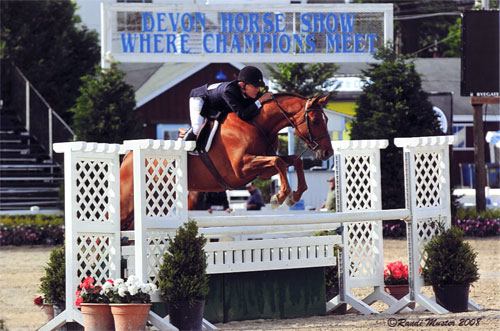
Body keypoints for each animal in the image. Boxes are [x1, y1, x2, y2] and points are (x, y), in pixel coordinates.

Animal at [119, 92, 334, 230]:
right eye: (316, 121)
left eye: (326, 120)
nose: (328, 152)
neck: (256, 124)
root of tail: (128, 156)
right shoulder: (240, 169)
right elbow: (278, 162)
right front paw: (279, 197)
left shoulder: (261, 170)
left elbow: (291, 162)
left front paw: (294, 196)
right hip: (127, 201)